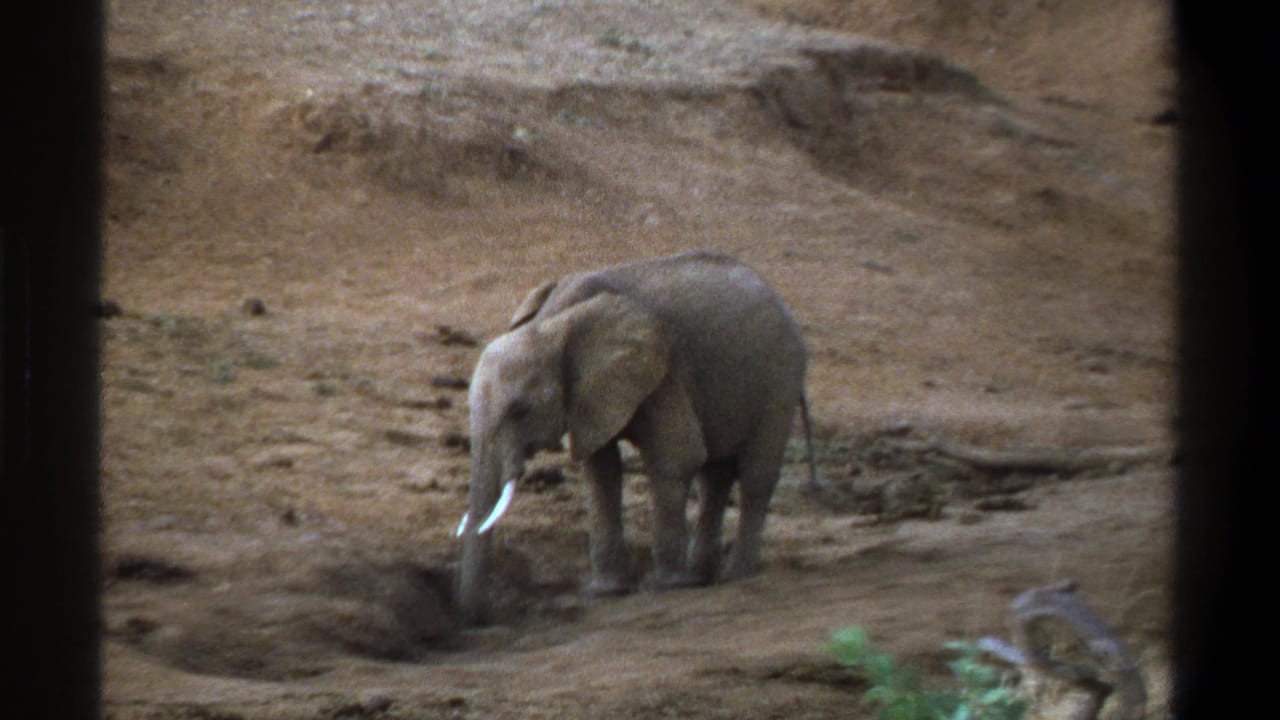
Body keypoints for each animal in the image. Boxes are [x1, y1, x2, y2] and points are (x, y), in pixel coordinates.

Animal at [454, 250, 814, 625]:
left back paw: (735, 575)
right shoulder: (589, 395)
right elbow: (600, 471)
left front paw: (666, 585)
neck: (552, 323)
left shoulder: (663, 369)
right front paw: (605, 592)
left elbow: (676, 456)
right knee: (715, 475)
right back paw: (703, 575)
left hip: (781, 376)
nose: (481, 616)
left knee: (756, 474)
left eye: (521, 411)